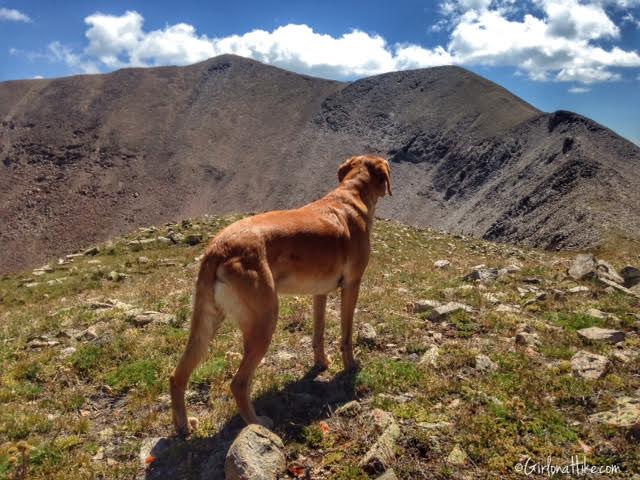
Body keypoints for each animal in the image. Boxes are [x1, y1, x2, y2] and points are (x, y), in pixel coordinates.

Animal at [170, 155, 390, 436]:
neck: (352, 194)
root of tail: (217, 249)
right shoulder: (352, 285)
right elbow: (346, 335)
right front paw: (349, 366)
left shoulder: (320, 293)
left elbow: (318, 334)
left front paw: (321, 363)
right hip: (264, 322)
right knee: (238, 383)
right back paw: (257, 423)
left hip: (206, 324)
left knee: (178, 376)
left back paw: (184, 424)